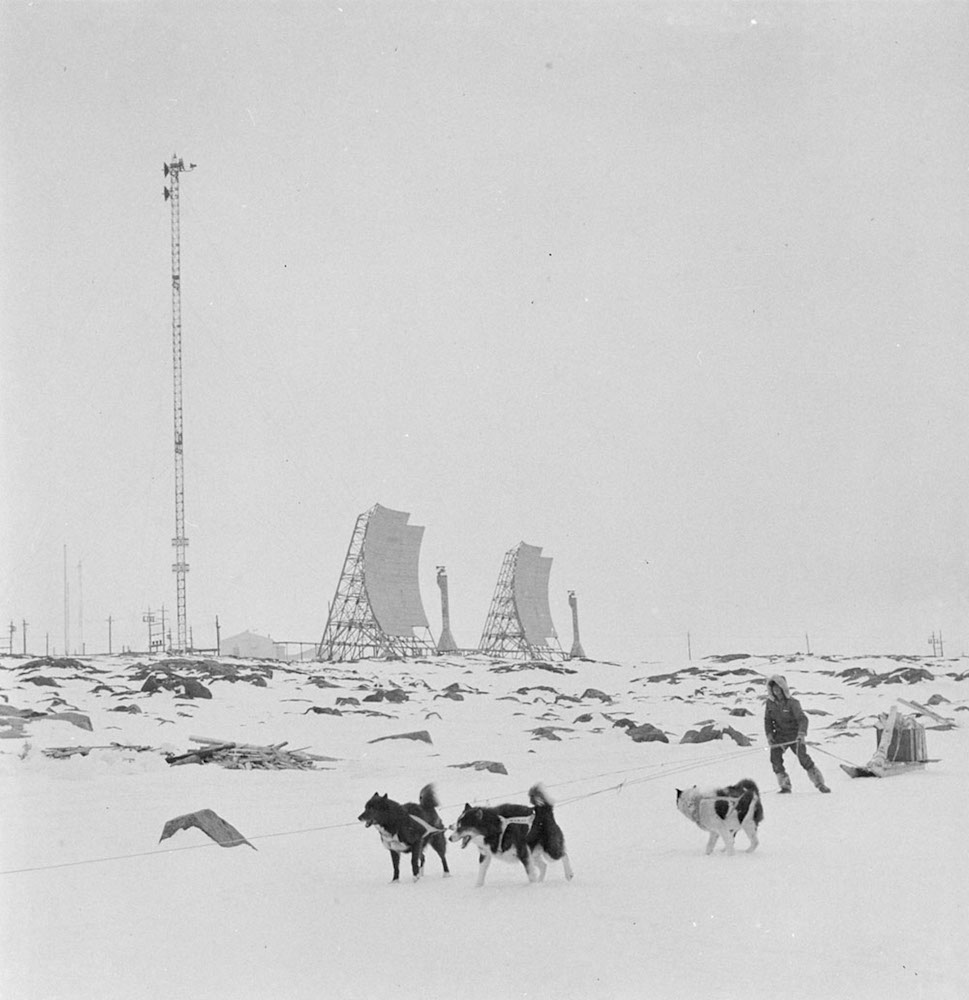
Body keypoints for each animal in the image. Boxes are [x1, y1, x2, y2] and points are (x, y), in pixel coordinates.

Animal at [448, 784, 576, 888]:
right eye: (457, 823)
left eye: (461, 826)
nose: (449, 838)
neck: (495, 828)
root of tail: (543, 810)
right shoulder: (485, 854)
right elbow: (481, 873)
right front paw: (477, 887)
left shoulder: (523, 853)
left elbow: (530, 874)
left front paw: (532, 887)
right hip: (533, 853)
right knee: (544, 865)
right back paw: (540, 882)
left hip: (549, 850)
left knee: (563, 854)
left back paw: (568, 874)